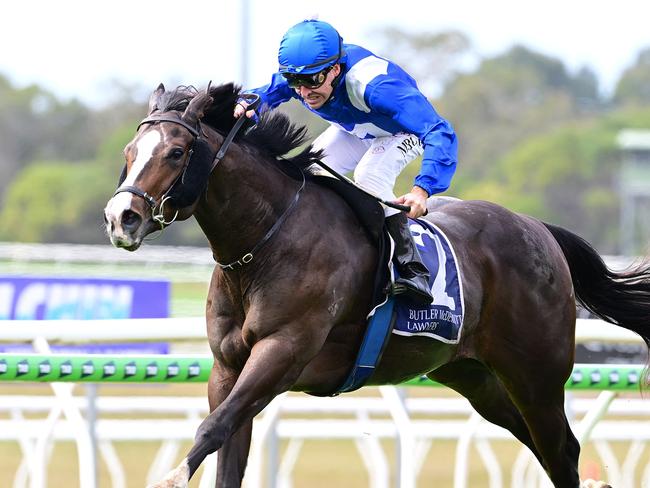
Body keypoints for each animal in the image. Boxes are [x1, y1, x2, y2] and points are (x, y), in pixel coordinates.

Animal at [101, 84, 648, 488]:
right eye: (129, 152)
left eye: (176, 152)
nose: (120, 218)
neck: (265, 240)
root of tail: (539, 229)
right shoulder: (227, 366)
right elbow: (226, 445)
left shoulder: (284, 350)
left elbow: (213, 428)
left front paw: (171, 475)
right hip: (477, 377)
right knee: (542, 444)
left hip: (536, 374)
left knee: (561, 450)